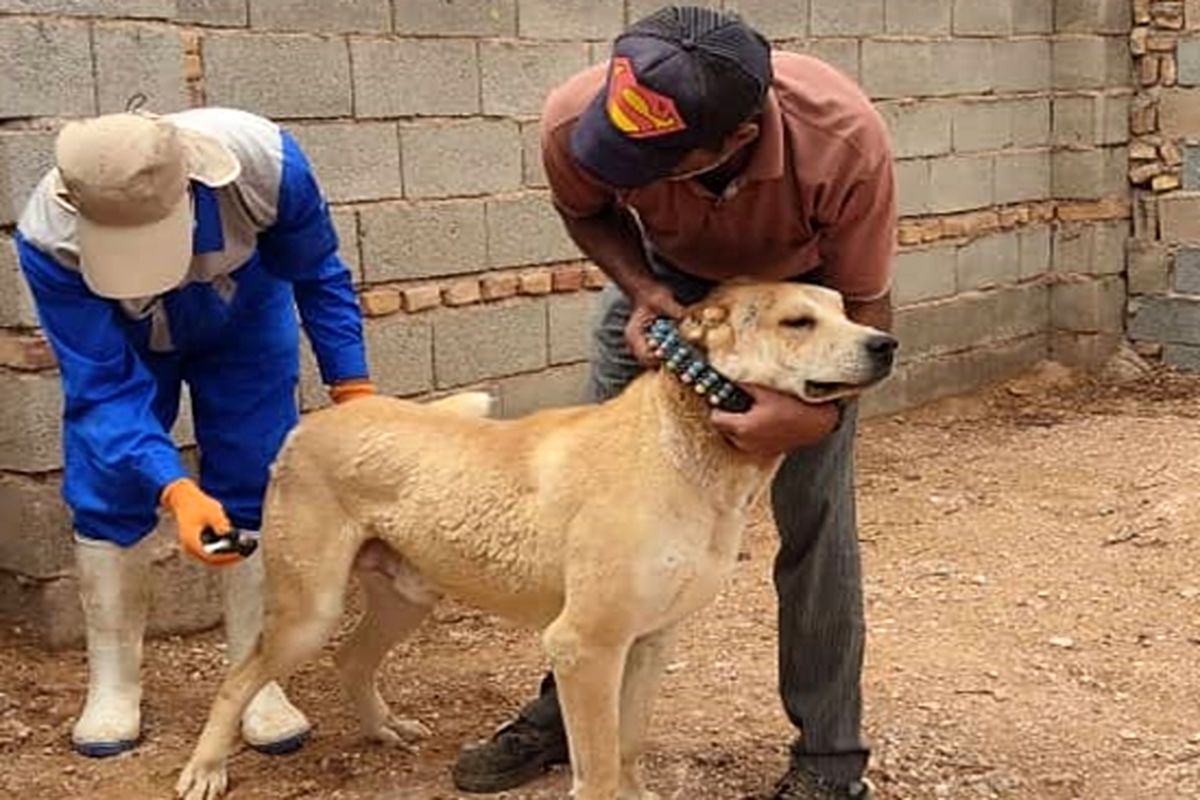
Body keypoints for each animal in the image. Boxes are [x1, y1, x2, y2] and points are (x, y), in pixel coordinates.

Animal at [175, 281, 892, 800]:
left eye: (843, 308)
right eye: (796, 323)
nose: (884, 343)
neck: (686, 448)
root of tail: (309, 424)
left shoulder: (650, 641)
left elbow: (628, 749)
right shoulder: (584, 645)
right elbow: (598, 770)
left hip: (406, 597)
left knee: (350, 659)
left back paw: (383, 729)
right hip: (310, 610)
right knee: (238, 678)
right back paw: (206, 769)